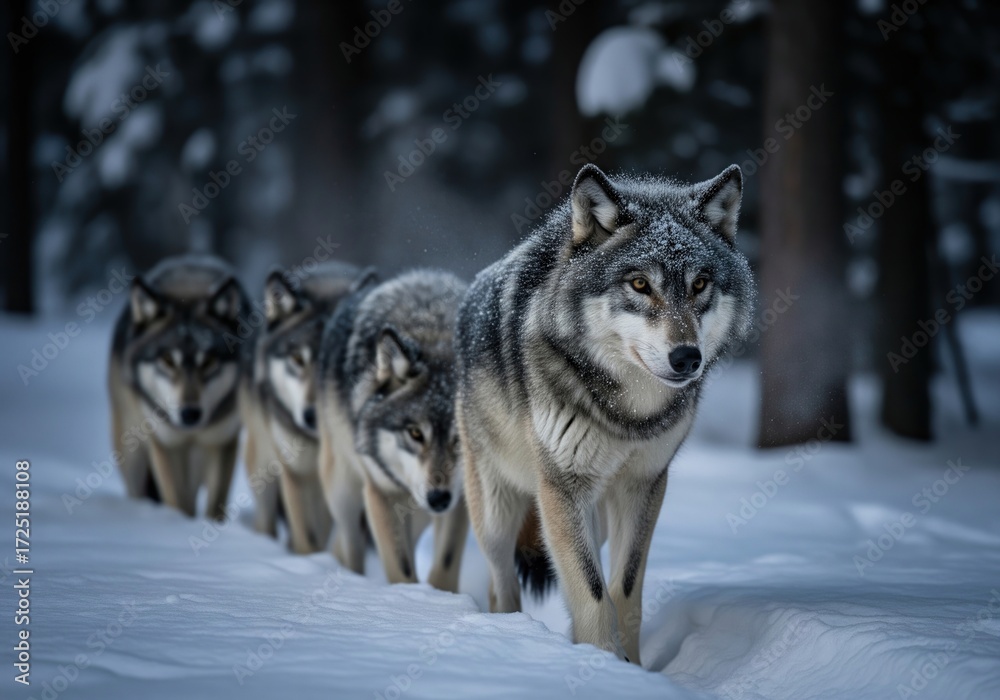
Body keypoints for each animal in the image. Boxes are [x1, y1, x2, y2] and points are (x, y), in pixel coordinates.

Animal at [108, 254, 249, 519]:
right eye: (167, 361)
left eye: (208, 361)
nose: (190, 414)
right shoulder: (166, 444)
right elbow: (177, 504)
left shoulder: (222, 442)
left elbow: (215, 505)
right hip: (134, 457)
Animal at [240, 262, 373, 553]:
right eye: (298, 359)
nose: (312, 417)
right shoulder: (297, 473)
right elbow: (307, 535)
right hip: (263, 462)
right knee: (266, 517)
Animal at [318, 270, 469, 592]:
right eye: (415, 433)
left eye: (459, 439)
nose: (439, 499)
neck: (432, 329)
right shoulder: (382, 494)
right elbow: (402, 570)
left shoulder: (464, 495)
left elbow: (445, 565)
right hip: (344, 491)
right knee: (349, 546)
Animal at [455, 163, 754, 664]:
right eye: (640, 284)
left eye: (699, 284)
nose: (687, 358)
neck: (628, 415)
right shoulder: (561, 486)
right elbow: (592, 592)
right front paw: (602, 664)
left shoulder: (645, 483)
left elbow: (624, 589)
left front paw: (629, 664)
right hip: (496, 510)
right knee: (502, 583)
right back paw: (510, 634)